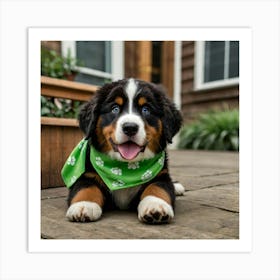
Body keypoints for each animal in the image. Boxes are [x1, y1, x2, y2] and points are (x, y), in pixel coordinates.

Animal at [62, 78, 183, 223]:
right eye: (115, 108)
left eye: (146, 109)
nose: (130, 127)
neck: (125, 169)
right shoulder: (86, 174)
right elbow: (86, 188)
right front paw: (84, 205)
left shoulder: (161, 176)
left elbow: (157, 188)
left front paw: (156, 206)